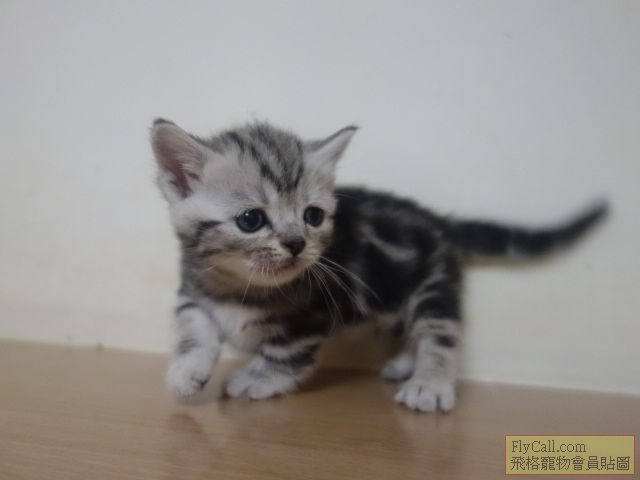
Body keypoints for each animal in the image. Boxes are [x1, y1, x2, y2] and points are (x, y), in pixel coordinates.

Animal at [151, 118, 607, 412]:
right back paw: (407, 362)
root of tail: (438, 220)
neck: (241, 287)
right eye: (251, 220)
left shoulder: (312, 315)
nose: (297, 243)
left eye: (313, 216)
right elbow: (195, 328)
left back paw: (429, 382)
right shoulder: (192, 292)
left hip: (432, 286)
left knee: (440, 333)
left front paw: (257, 379)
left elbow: (284, 354)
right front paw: (186, 373)